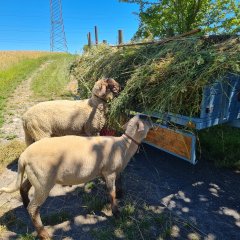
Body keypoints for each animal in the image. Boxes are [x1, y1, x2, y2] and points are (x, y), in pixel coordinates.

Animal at [0, 115, 152, 239]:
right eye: (146, 119)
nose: (153, 123)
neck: (124, 145)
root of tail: (23, 157)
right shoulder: (109, 172)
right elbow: (111, 193)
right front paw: (116, 212)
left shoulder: (108, 172)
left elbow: (117, 184)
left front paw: (120, 194)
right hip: (43, 182)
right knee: (33, 209)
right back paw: (44, 234)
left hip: (36, 178)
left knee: (24, 189)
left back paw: (25, 205)